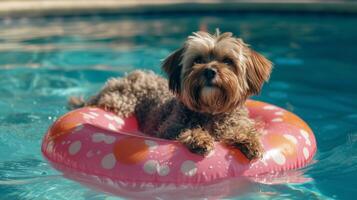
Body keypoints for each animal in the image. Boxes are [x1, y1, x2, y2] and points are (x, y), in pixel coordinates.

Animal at [68, 30, 272, 160]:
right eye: (197, 60)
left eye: (228, 61)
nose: (209, 71)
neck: (210, 111)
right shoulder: (168, 129)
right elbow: (186, 131)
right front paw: (200, 138)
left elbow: (243, 129)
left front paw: (249, 140)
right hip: (119, 101)